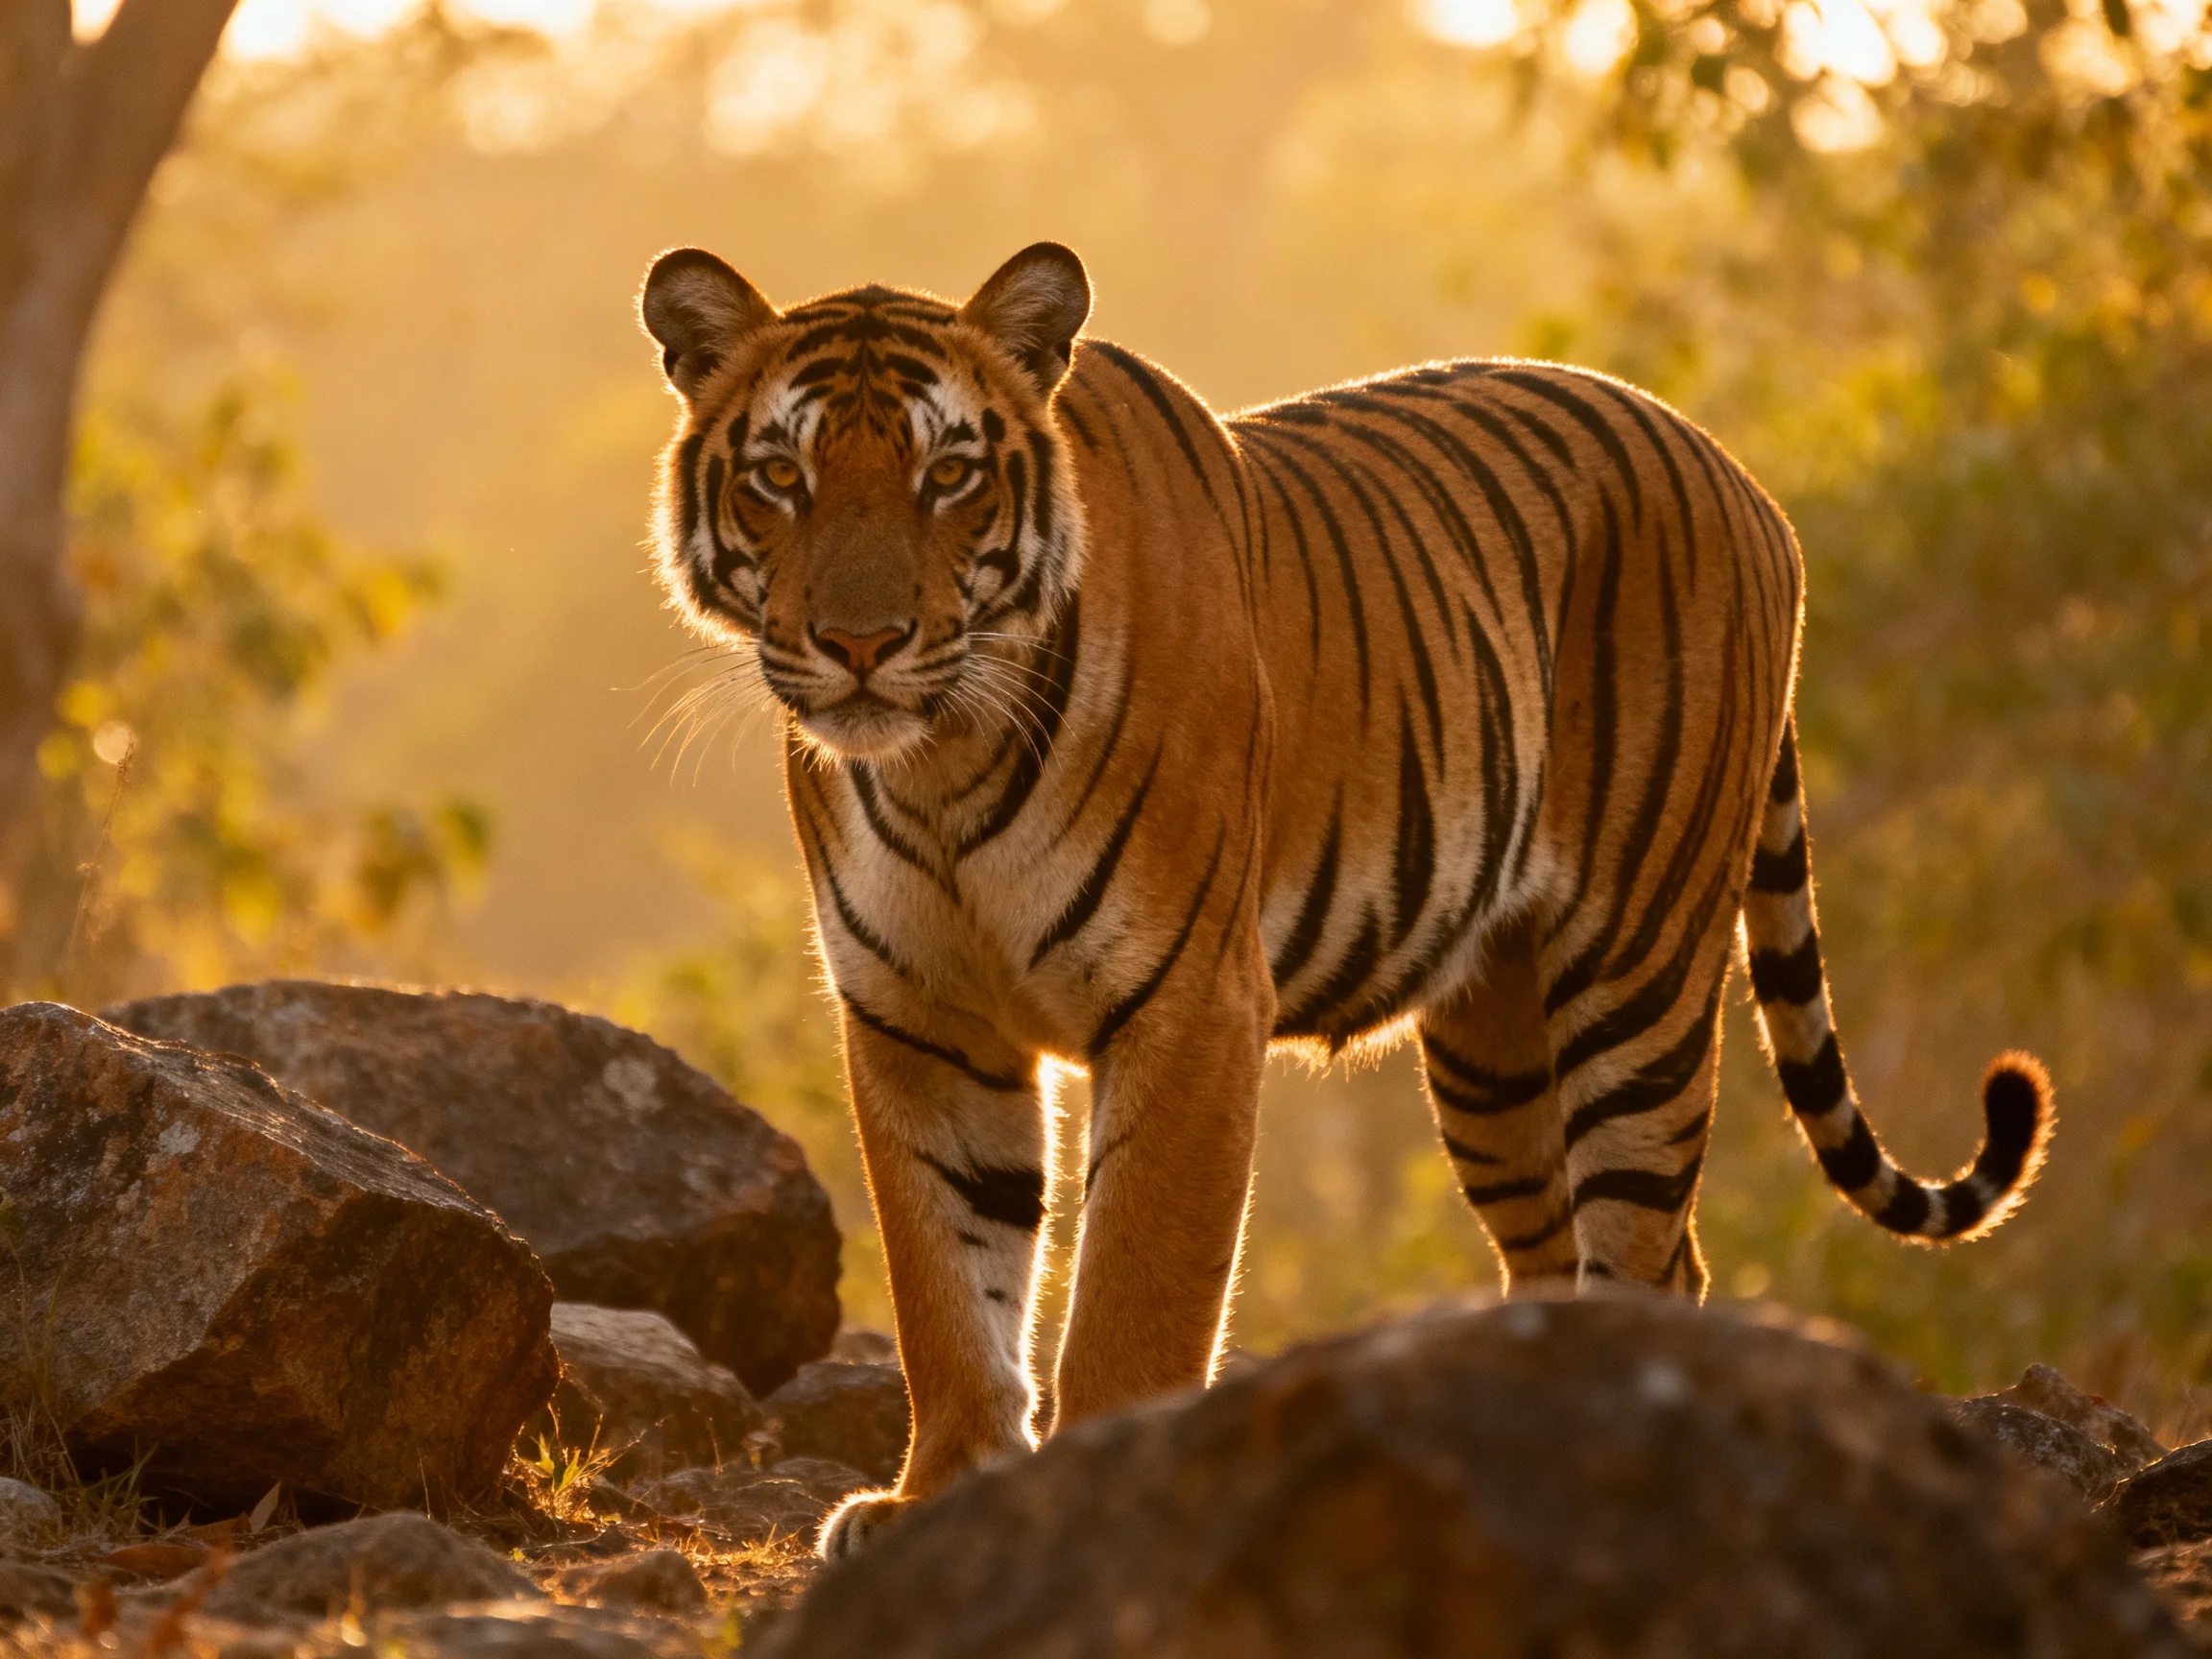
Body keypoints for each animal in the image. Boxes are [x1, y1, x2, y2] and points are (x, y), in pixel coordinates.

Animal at [636, 240, 2055, 1558]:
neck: (941, 762)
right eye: (781, 478)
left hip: (1637, 975)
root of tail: (1743, 476)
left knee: (1653, 1252)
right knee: (1562, 1254)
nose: (860, 645)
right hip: (1491, 1044)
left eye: (949, 476)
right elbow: (947, 1281)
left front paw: (1095, 1490)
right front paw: (938, 1496)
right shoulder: (920, 1020)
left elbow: (1134, 1295)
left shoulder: (1188, 1005)